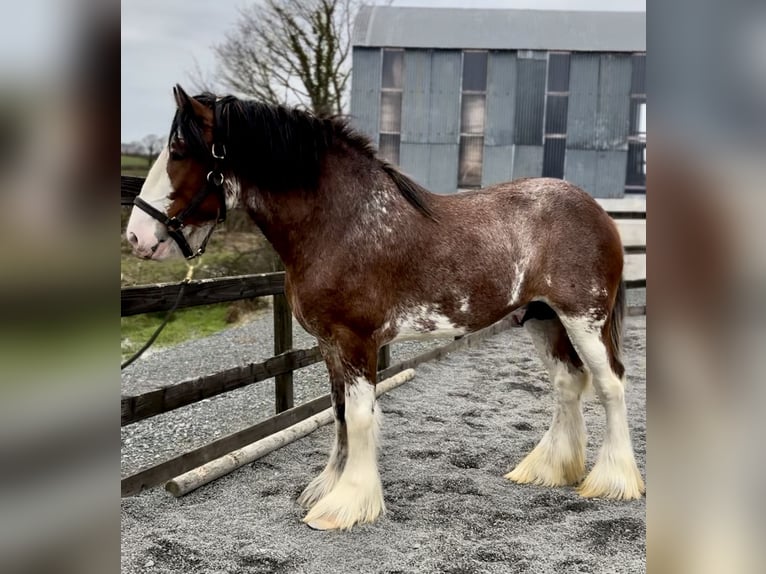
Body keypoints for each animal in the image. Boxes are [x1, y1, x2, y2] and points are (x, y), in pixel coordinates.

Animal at [129, 85, 644, 532]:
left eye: (178, 150)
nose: (137, 236)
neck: (342, 222)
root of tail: (599, 213)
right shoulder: (329, 344)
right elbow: (338, 413)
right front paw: (328, 488)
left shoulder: (357, 340)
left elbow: (359, 417)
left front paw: (347, 505)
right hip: (543, 318)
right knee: (567, 382)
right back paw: (548, 470)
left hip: (583, 319)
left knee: (610, 384)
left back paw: (614, 481)